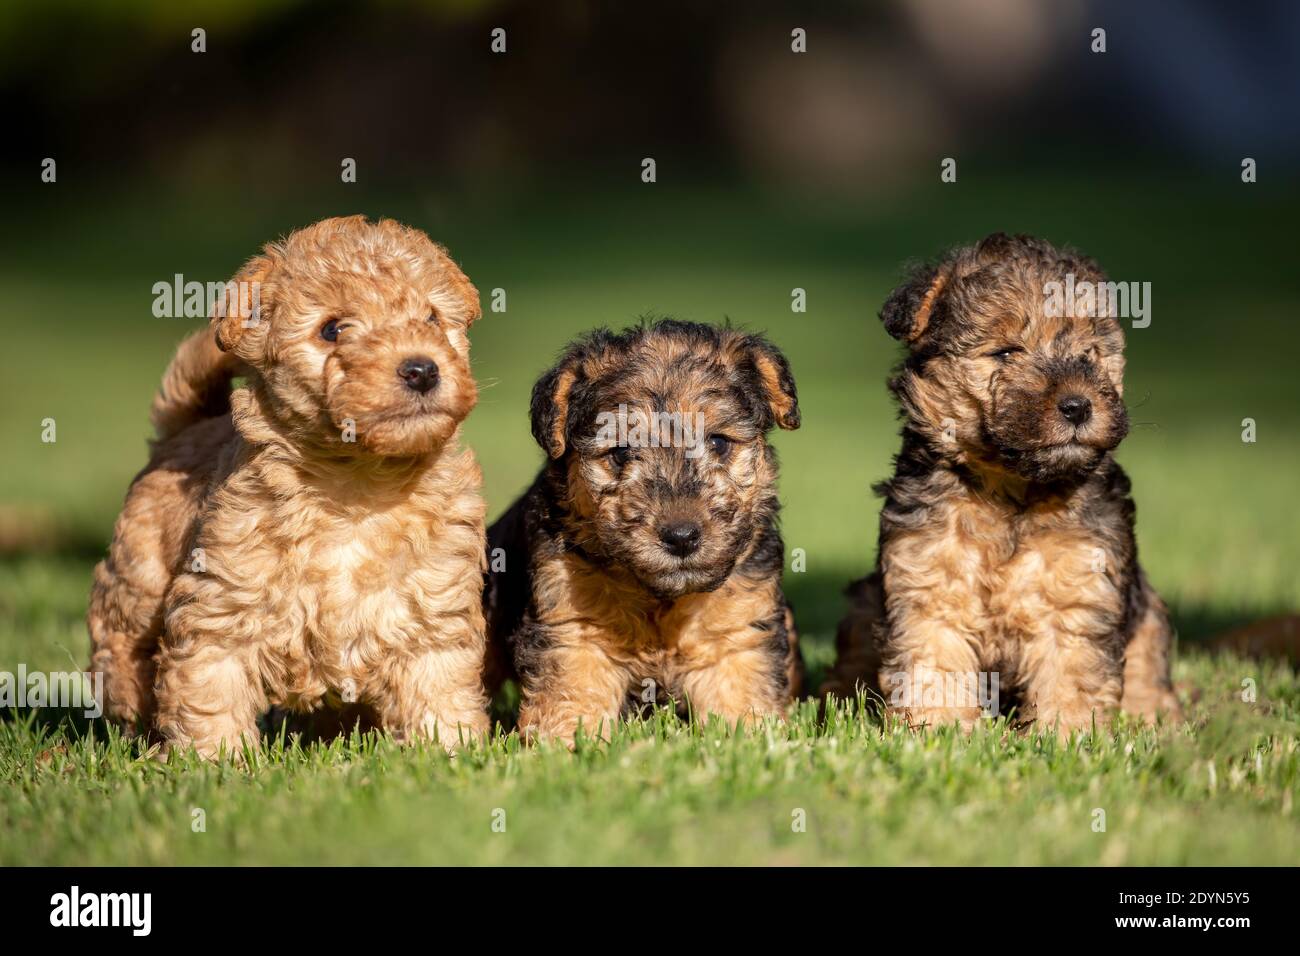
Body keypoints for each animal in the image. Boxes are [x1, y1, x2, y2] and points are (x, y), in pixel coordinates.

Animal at [86, 217, 488, 754]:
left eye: (431, 317)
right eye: (332, 329)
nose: (422, 368)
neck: (357, 485)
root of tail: (187, 427)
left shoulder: (432, 605)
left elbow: (438, 687)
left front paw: (450, 750)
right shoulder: (222, 603)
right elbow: (210, 687)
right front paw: (215, 758)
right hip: (140, 572)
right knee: (121, 636)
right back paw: (131, 708)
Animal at [488, 317, 800, 743]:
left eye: (719, 442)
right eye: (620, 452)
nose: (681, 537)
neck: (660, 598)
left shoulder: (737, 631)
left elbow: (740, 696)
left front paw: (753, 741)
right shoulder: (572, 630)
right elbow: (572, 696)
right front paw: (565, 747)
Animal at [826, 235, 1185, 738]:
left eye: (1091, 352)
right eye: (1006, 352)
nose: (1078, 406)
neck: (1013, 491)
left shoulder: (1079, 586)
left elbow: (1072, 671)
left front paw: (1069, 736)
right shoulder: (927, 582)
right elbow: (932, 663)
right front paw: (937, 730)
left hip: (1146, 609)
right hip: (864, 600)